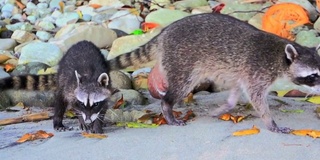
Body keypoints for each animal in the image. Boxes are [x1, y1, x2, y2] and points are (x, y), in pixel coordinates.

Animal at [107, 12, 320, 134]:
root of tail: (164, 34)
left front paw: (225, 107)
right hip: (182, 60)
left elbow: (236, 92)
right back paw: (167, 107)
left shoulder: (243, 73)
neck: (281, 57)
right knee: (181, 86)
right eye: (313, 76)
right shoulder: (258, 71)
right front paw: (271, 123)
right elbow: (257, 98)